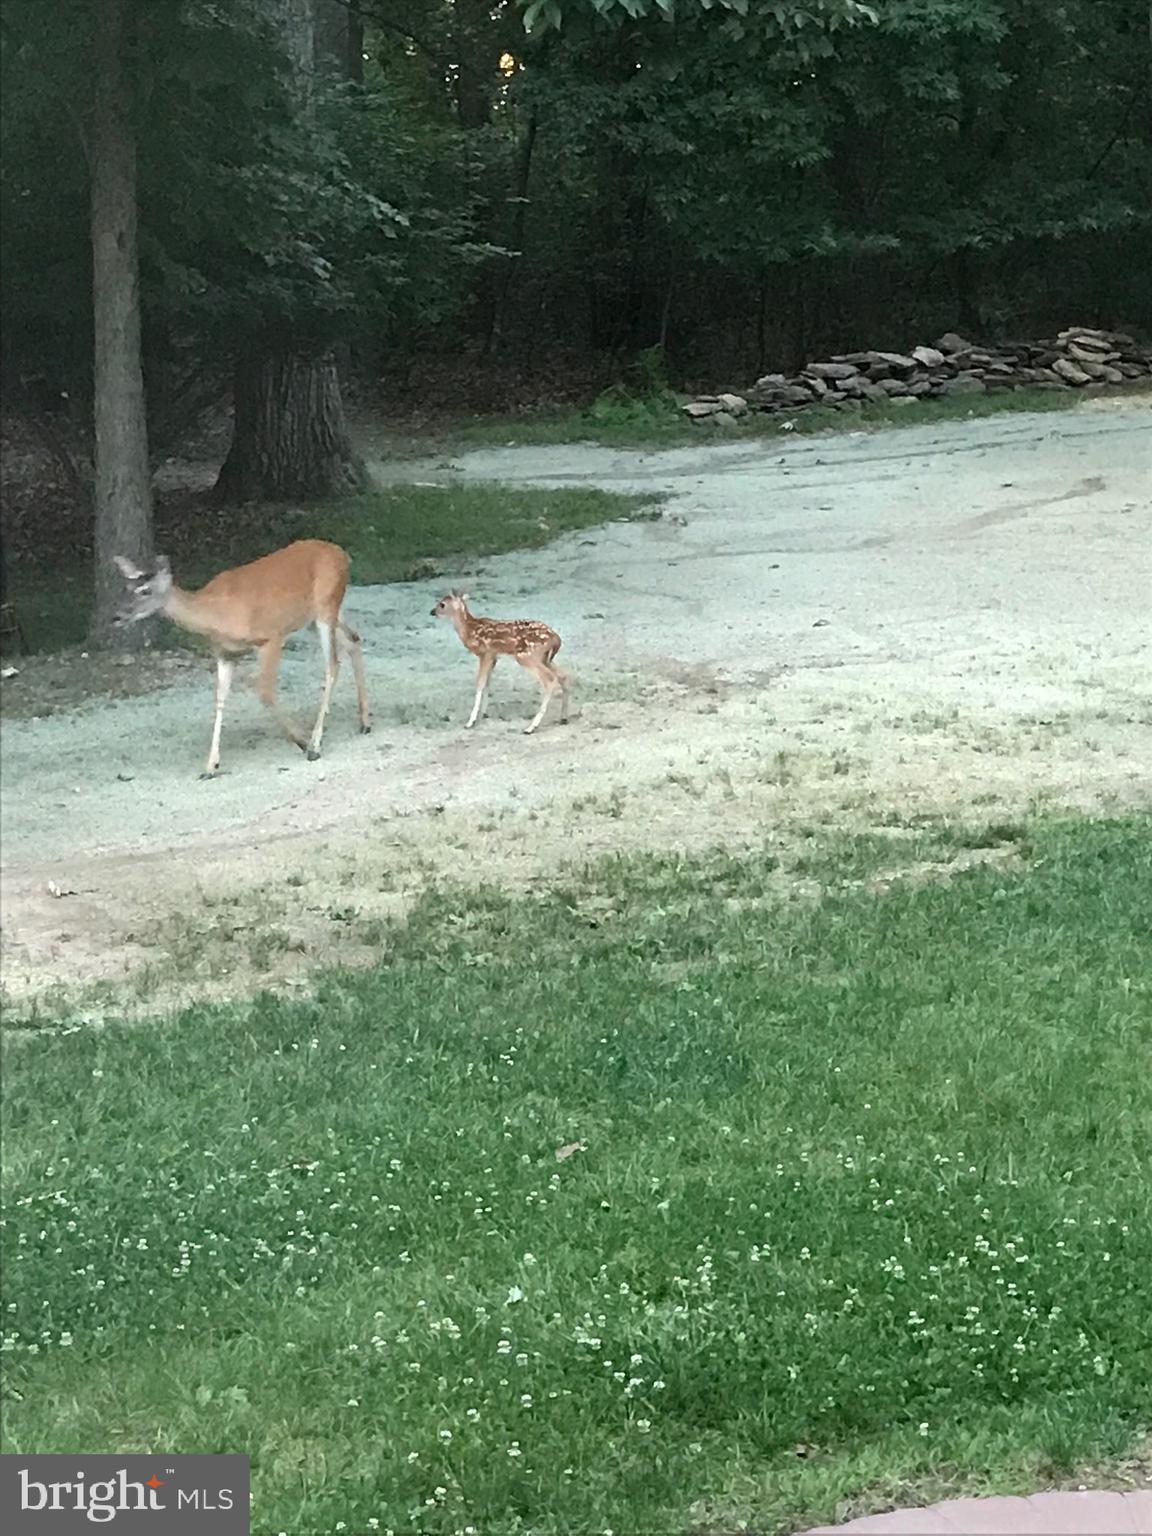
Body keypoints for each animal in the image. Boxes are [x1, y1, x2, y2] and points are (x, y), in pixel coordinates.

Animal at [113, 539, 371, 778]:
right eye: (125, 587)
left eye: (145, 591)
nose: (116, 616)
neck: (215, 615)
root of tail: (342, 554)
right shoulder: (224, 653)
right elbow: (219, 699)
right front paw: (210, 766)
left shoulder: (271, 636)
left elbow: (265, 692)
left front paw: (303, 742)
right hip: (321, 613)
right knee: (354, 640)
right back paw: (365, 722)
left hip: (325, 606)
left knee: (333, 664)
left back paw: (317, 743)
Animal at [431, 590, 570, 735]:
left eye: (442, 604)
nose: (432, 612)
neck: (470, 631)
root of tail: (556, 638)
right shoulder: (494, 657)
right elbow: (487, 683)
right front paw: (482, 715)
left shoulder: (486, 653)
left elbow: (480, 684)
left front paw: (470, 721)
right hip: (546, 658)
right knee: (563, 675)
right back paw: (563, 718)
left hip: (527, 656)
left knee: (549, 679)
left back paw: (531, 727)